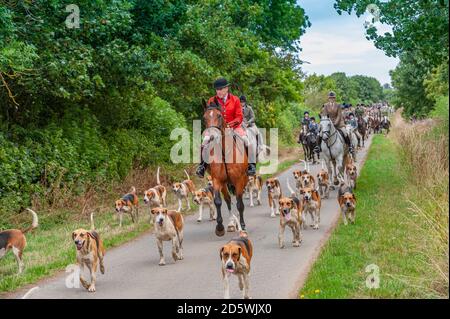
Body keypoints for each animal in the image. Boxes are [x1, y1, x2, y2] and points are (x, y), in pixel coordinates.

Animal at [201, 100, 248, 238]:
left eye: (219, 115)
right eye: (204, 118)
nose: (210, 137)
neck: (224, 152)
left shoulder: (239, 180)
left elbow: (240, 203)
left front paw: (242, 226)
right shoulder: (217, 180)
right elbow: (218, 201)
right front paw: (220, 227)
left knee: (238, 198)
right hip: (224, 184)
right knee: (227, 199)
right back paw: (231, 223)